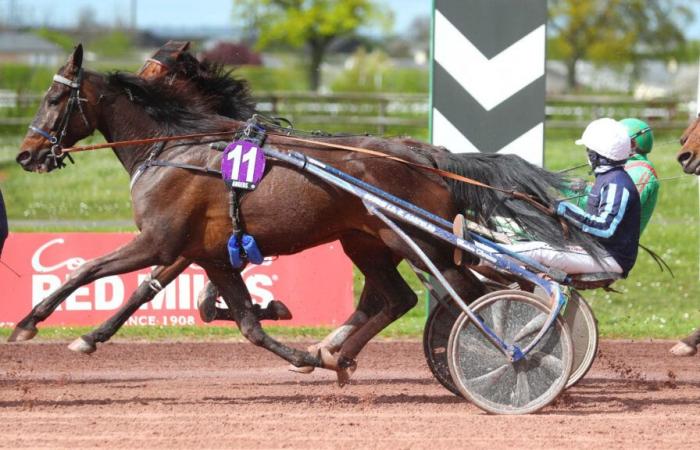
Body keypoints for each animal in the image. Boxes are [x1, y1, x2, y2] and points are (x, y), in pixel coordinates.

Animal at [12, 45, 600, 382]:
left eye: (52, 99)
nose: (26, 154)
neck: (177, 146)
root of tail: (425, 155)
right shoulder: (206, 252)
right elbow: (234, 318)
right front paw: (295, 345)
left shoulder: (160, 241)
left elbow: (89, 270)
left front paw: (30, 323)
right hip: (366, 241)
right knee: (399, 299)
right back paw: (339, 355)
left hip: (414, 241)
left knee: (467, 298)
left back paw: (504, 355)